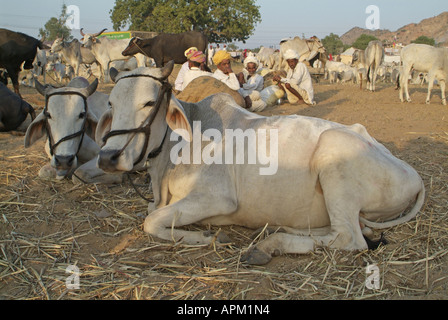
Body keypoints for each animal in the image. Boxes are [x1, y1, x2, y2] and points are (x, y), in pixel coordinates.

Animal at [96, 62, 426, 264]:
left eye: (149, 103)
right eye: (110, 102)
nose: (107, 157)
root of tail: (414, 176)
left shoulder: (217, 198)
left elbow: (151, 221)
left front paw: (208, 235)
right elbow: (152, 214)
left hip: (335, 152)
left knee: (349, 238)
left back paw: (270, 245)